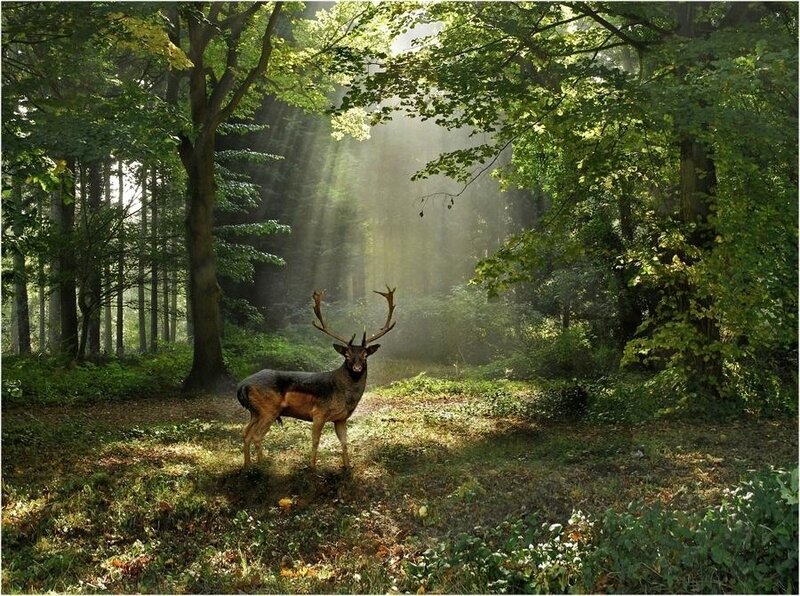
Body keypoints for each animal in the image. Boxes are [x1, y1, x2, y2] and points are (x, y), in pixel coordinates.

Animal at [236, 287, 396, 469]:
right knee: (257, 435)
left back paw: (247, 465)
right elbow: (315, 441)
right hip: (268, 409)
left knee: (246, 434)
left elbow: (344, 442)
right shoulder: (319, 412)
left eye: (365, 355)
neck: (345, 396)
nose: (357, 368)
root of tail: (242, 385)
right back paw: (262, 465)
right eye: (347, 355)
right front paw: (312, 467)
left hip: (255, 411)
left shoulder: (341, 419)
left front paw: (347, 466)